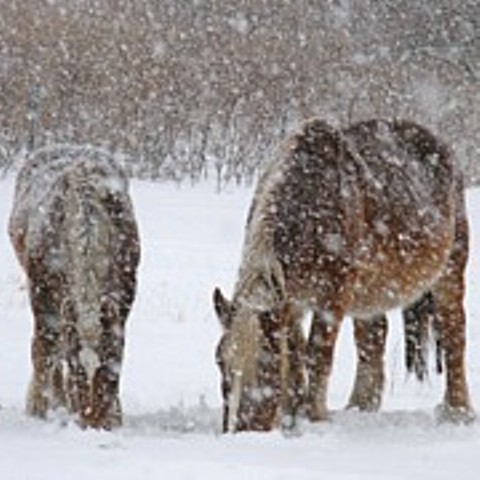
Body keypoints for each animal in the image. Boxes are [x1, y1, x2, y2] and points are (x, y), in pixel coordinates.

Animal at [8, 144, 141, 430]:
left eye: (111, 366)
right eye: (76, 367)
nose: (93, 424)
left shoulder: (123, 297)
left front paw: (115, 415)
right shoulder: (43, 297)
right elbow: (44, 350)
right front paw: (39, 407)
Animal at [214, 118, 472, 434]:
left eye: (265, 363)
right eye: (219, 362)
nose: (240, 431)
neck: (310, 204)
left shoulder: (332, 297)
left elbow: (318, 355)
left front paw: (314, 417)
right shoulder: (291, 301)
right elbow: (297, 354)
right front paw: (292, 414)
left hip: (450, 272)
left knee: (454, 333)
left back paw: (458, 411)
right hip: (371, 291)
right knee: (373, 338)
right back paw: (360, 407)